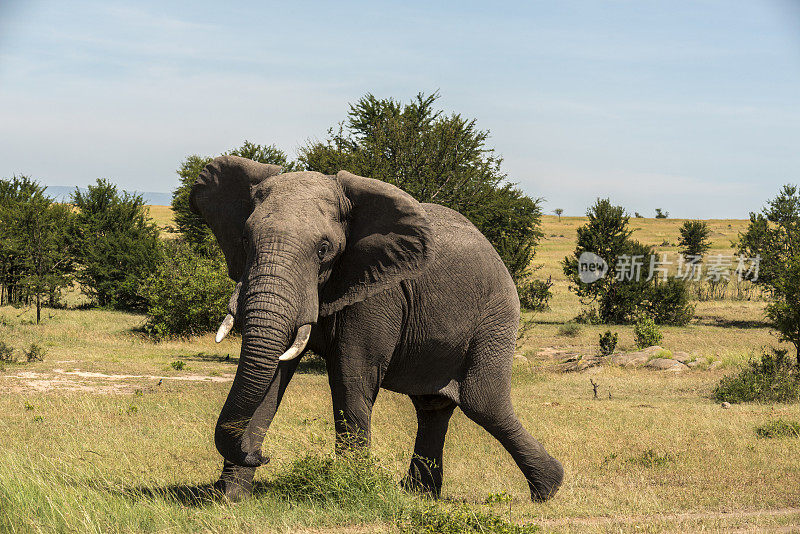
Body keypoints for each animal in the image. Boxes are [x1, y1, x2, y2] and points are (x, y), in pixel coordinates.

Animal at [189, 155, 564, 502]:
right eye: (245, 240)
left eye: (323, 250)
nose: (261, 456)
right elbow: (271, 379)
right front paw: (228, 498)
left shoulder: (378, 291)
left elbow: (351, 376)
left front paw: (348, 491)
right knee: (433, 407)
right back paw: (419, 494)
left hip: (496, 315)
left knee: (482, 402)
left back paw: (548, 489)